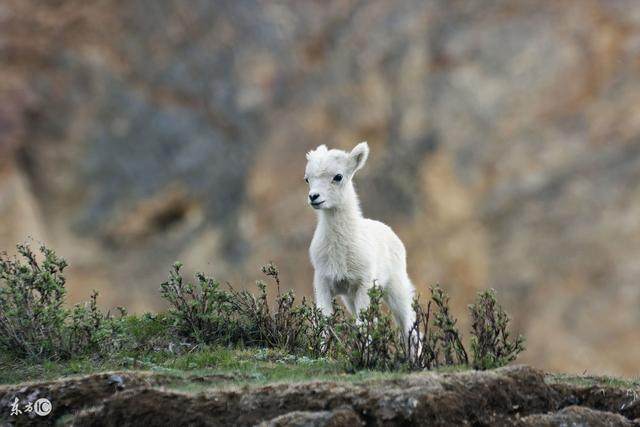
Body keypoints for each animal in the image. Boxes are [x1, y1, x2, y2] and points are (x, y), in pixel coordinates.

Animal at [306, 140, 418, 338]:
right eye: (307, 179)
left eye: (338, 177)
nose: (314, 197)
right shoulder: (323, 284)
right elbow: (324, 326)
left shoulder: (363, 286)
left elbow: (363, 327)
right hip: (351, 299)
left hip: (396, 289)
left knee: (409, 326)